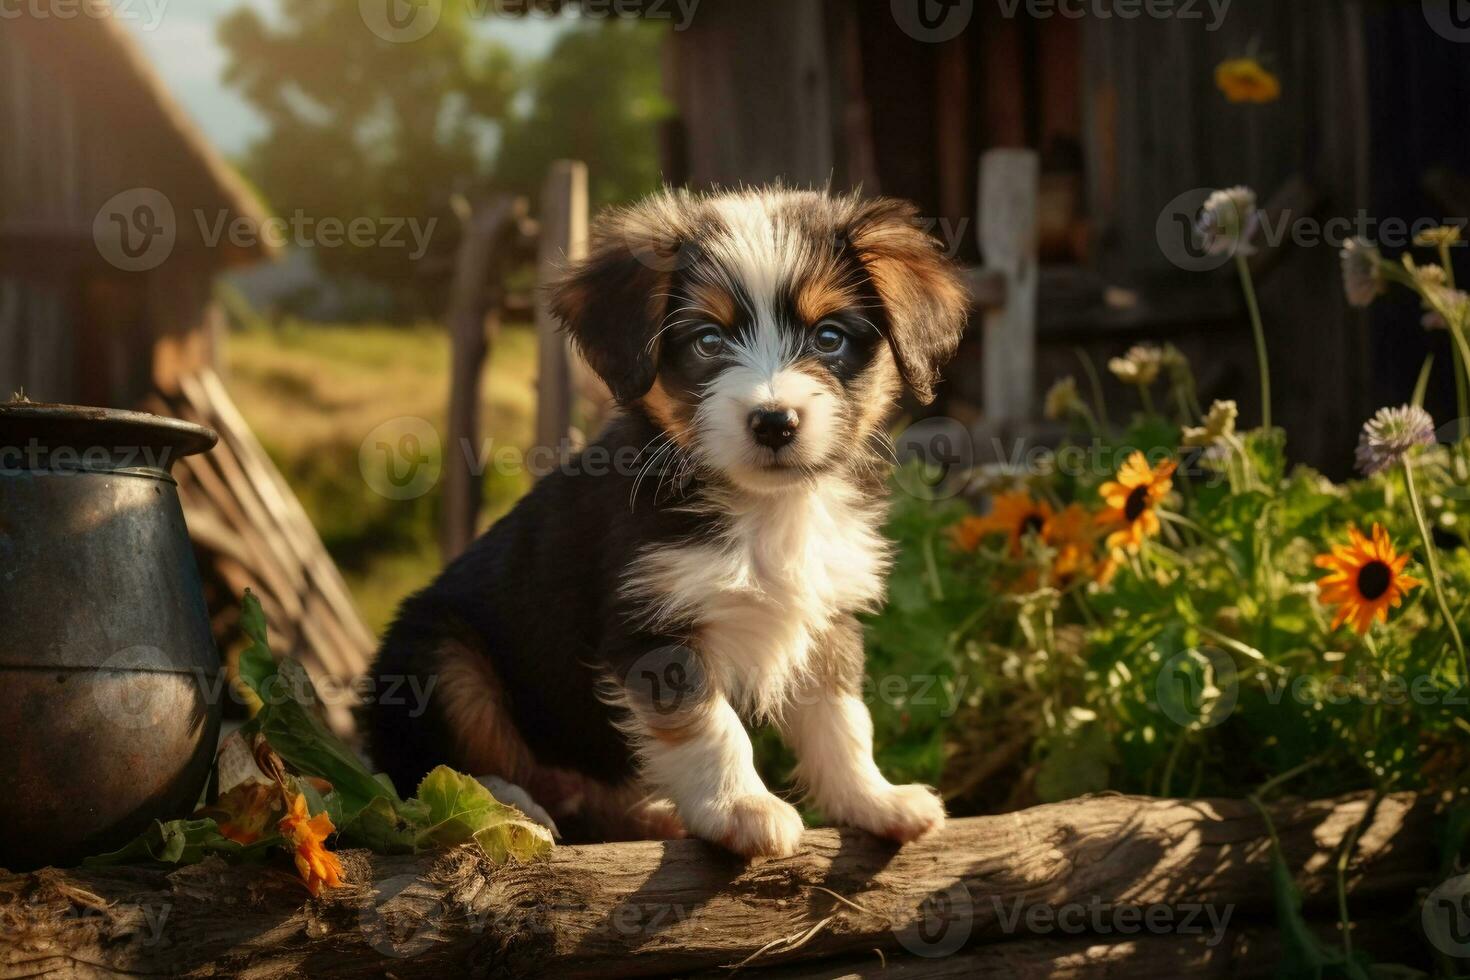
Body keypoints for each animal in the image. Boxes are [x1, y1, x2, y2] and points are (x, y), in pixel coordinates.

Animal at [363, 185, 970, 858]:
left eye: (830, 337)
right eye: (707, 342)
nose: (774, 422)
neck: (765, 508)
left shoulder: (825, 617)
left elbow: (842, 722)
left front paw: (874, 800)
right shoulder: (653, 628)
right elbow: (712, 728)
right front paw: (742, 809)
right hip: (441, 660)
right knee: (429, 774)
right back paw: (513, 811)